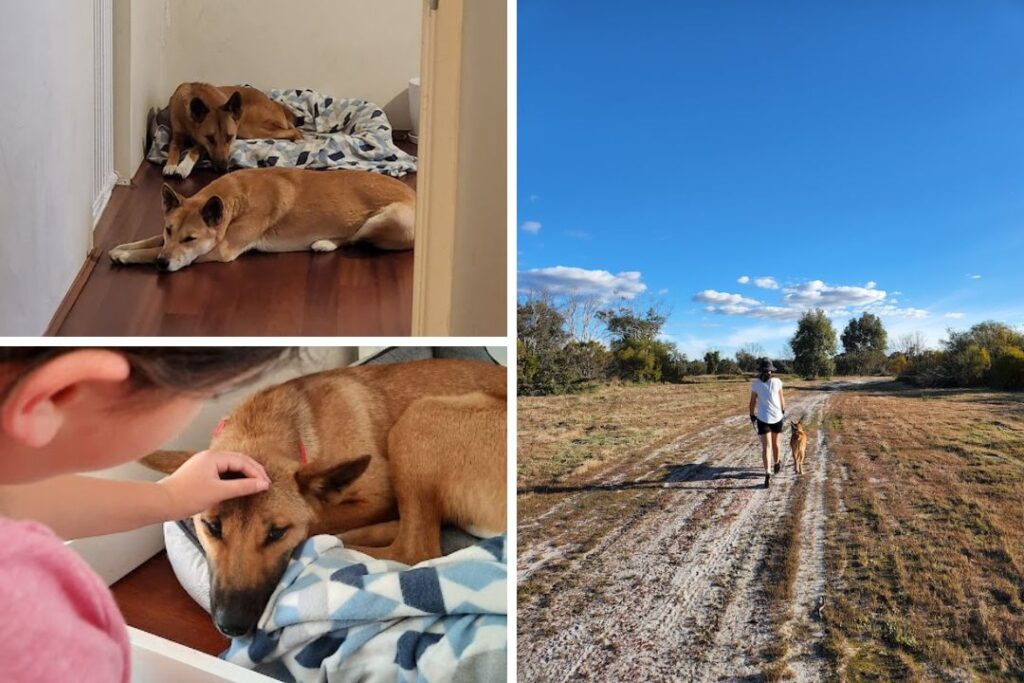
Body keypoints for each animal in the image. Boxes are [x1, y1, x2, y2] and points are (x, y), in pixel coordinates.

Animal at [110, 166, 413, 270]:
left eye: (190, 239)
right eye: (169, 230)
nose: (163, 265)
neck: (236, 200)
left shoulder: (222, 249)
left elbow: (152, 251)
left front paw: (127, 256)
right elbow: (151, 242)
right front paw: (122, 247)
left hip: (385, 218)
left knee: (354, 237)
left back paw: (325, 242)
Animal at [140, 360, 507, 638]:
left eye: (276, 533)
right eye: (212, 526)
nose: (233, 625)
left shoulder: (379, 495)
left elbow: (316, 518)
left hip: (418, 418)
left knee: (415, 550)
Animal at [163, 81, 303, 179]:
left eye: (230, 137)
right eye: (210, 138)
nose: (222, 168)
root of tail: (276, 104)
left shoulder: (201, 142)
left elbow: (194, 149)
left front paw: (184, 166)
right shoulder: (177, 136)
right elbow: (173, 147)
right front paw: (170, 164)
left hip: (248, 128)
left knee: (295, 131)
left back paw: (299, 140)